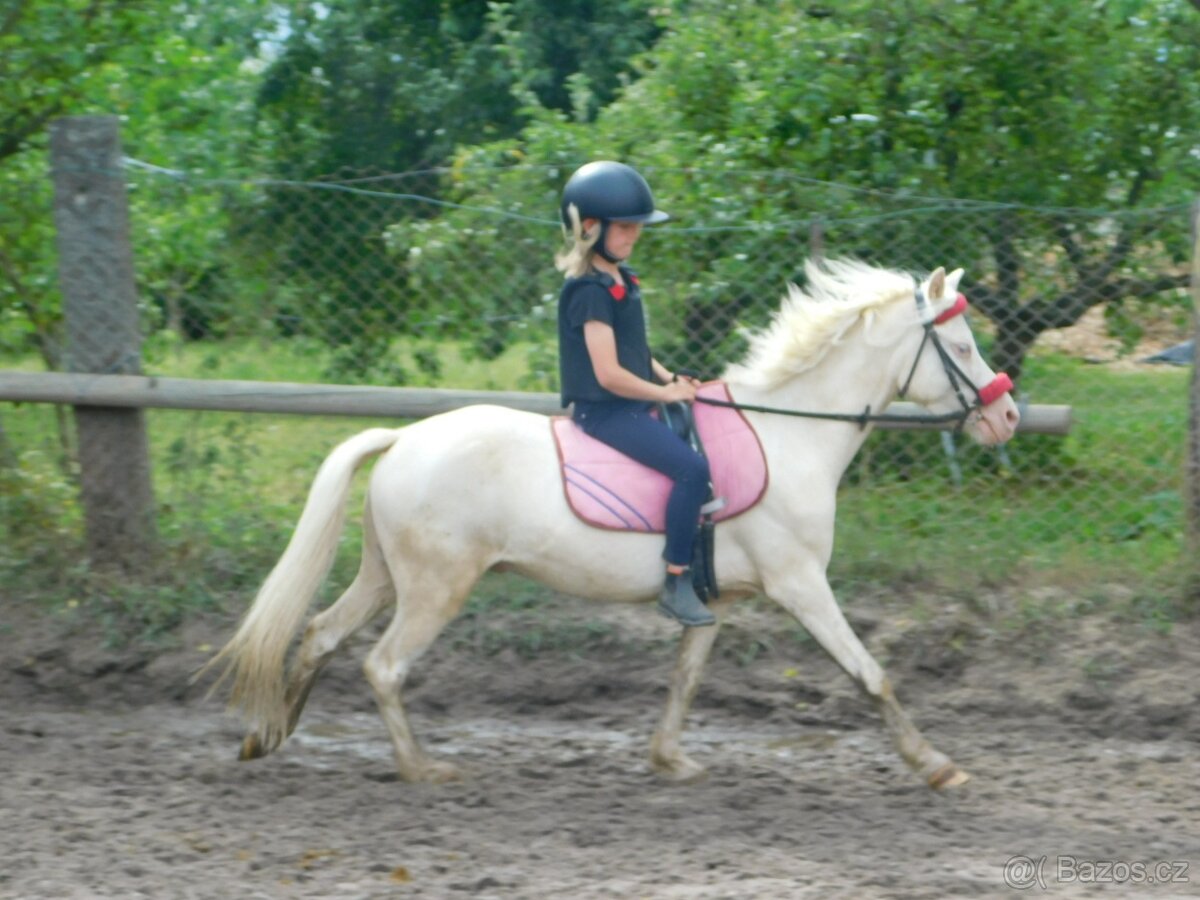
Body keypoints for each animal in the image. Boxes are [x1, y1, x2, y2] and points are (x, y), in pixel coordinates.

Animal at [203, 259, 1020, 789]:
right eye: (964, 346)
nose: (1008, 415)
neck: (790, 435)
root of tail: (402, 439)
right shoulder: (800, 585)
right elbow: (870, 672)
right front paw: (938, 767)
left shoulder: (716, 598)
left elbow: (685, 680)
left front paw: (670, 760)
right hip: (435, 589)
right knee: (382, 665)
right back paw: (421, 768)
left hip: (384, 576)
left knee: (320, 635)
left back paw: (265, 739)